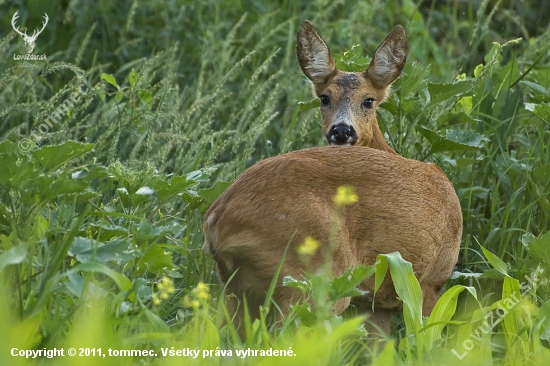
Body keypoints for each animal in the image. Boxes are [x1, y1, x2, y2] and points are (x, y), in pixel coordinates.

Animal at [203, 20, 462, 336]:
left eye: (368, 100)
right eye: (324, 98)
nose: (341, 130)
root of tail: (217, 221)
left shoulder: (374, 302)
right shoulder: (430, 281)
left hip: (235, 286)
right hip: (312, 275)